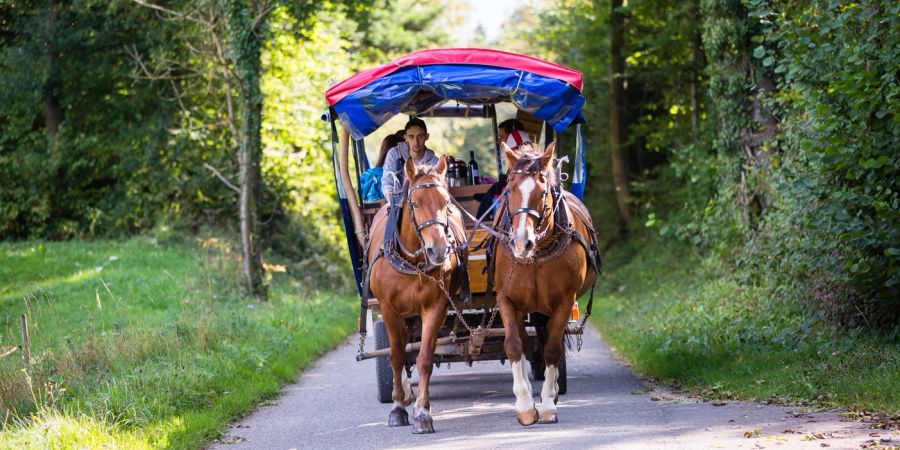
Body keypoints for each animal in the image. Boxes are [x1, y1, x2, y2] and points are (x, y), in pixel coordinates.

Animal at [366, 155, 468, 432]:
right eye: (415, 202)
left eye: (446, 202)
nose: (439, 250)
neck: (413, 262)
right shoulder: (388, 309)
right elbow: (396, 356)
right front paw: (398, 408)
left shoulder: (436, 307)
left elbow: (424, 358)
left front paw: (422, 413)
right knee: (400, 347)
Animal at [492, 142, 596, 428]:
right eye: (510, 188)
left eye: (543, 192)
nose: (521, 243)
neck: (536, 256)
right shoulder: (507, 300)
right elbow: (514, 345)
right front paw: (525, 406)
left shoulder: (564, 301)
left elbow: (551, 349)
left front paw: (548, 404)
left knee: (546, 338)